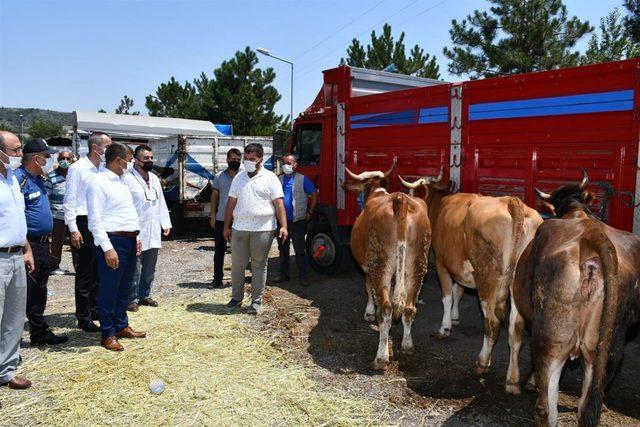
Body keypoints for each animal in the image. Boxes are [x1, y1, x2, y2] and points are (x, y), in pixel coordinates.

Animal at [344, 164, 430, 372]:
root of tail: (400, 201)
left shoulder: (368, 268)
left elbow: (368, 289)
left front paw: (369, 313)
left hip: (380, 266)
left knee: (386, 309)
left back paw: (381, 357)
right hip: (417, 266)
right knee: (408, 308)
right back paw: (407, 346)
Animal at [400, 173, 540, 374]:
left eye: (411, 195)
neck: (440, 203)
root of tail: (512, 202)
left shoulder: (442, 262)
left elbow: (447, 296)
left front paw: (445, 327)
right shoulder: (461, 265)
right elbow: (458, 291)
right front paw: (455, 317)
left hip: (487, 281)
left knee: (492, 323)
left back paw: (482, 362)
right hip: (517, 286)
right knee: (516, 329)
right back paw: (512, 377)